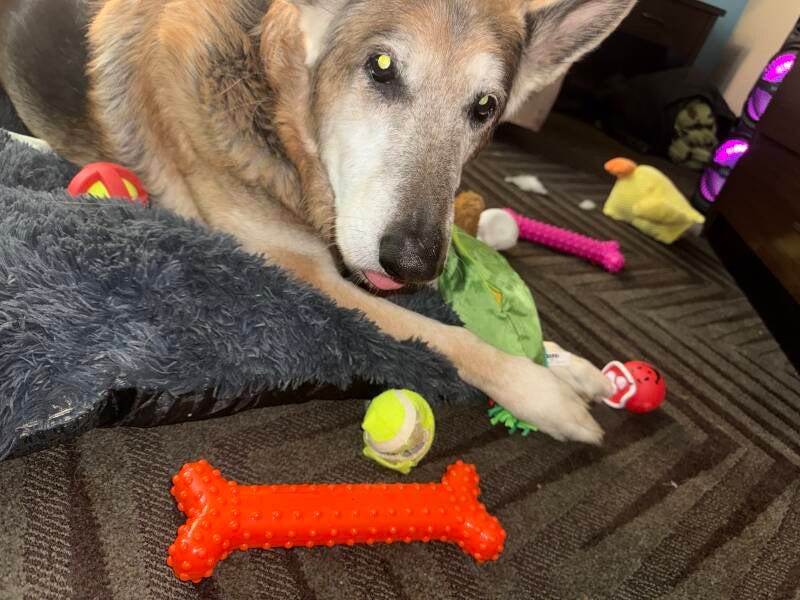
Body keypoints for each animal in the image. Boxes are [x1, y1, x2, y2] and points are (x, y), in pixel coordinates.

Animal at [1, 0, 636, 443]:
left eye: (486, 107)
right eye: (381, 66)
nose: (413, 262)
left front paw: (563, 361)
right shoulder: (307, 270)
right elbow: (447, 335)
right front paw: (542, 391)